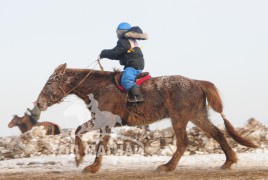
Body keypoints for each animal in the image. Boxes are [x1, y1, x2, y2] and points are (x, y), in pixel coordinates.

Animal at [35, 64, 258, 174]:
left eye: (49, 83)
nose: (38, 103)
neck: (98, 88)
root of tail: (197, 82)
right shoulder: (101, 122)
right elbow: (84, 134)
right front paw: (85, 161)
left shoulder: (104, 122)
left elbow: (94, 141)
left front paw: (88, 164)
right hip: (197, 116)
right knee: (218, 133)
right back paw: (229, 161)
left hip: (180, 117)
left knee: (183, 142)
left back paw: (167, 166)